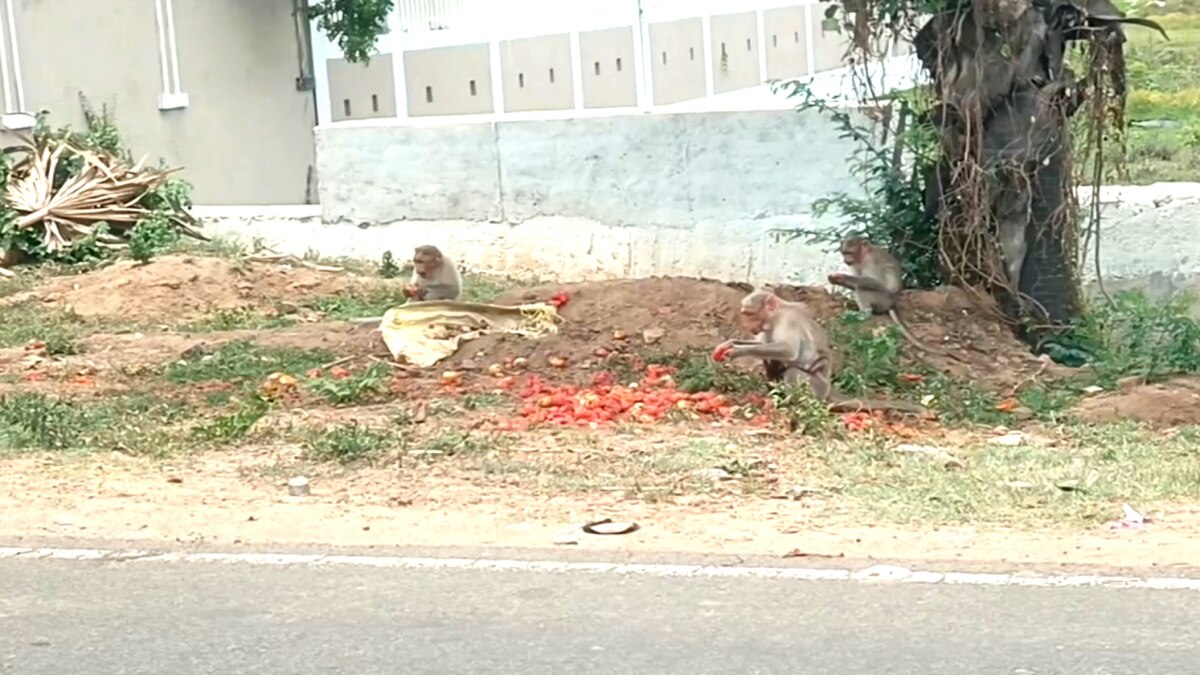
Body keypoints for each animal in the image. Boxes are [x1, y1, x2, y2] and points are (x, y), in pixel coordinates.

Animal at [825, 236, 964, 362]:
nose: (846, 260)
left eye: (850, 252)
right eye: (844, 252)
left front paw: (841, 277)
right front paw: (836, 280)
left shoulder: (872, 261)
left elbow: (877, 282)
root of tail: (892, 303)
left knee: (863, 288)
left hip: (882, 300)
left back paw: (864, 314)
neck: (863, 256)